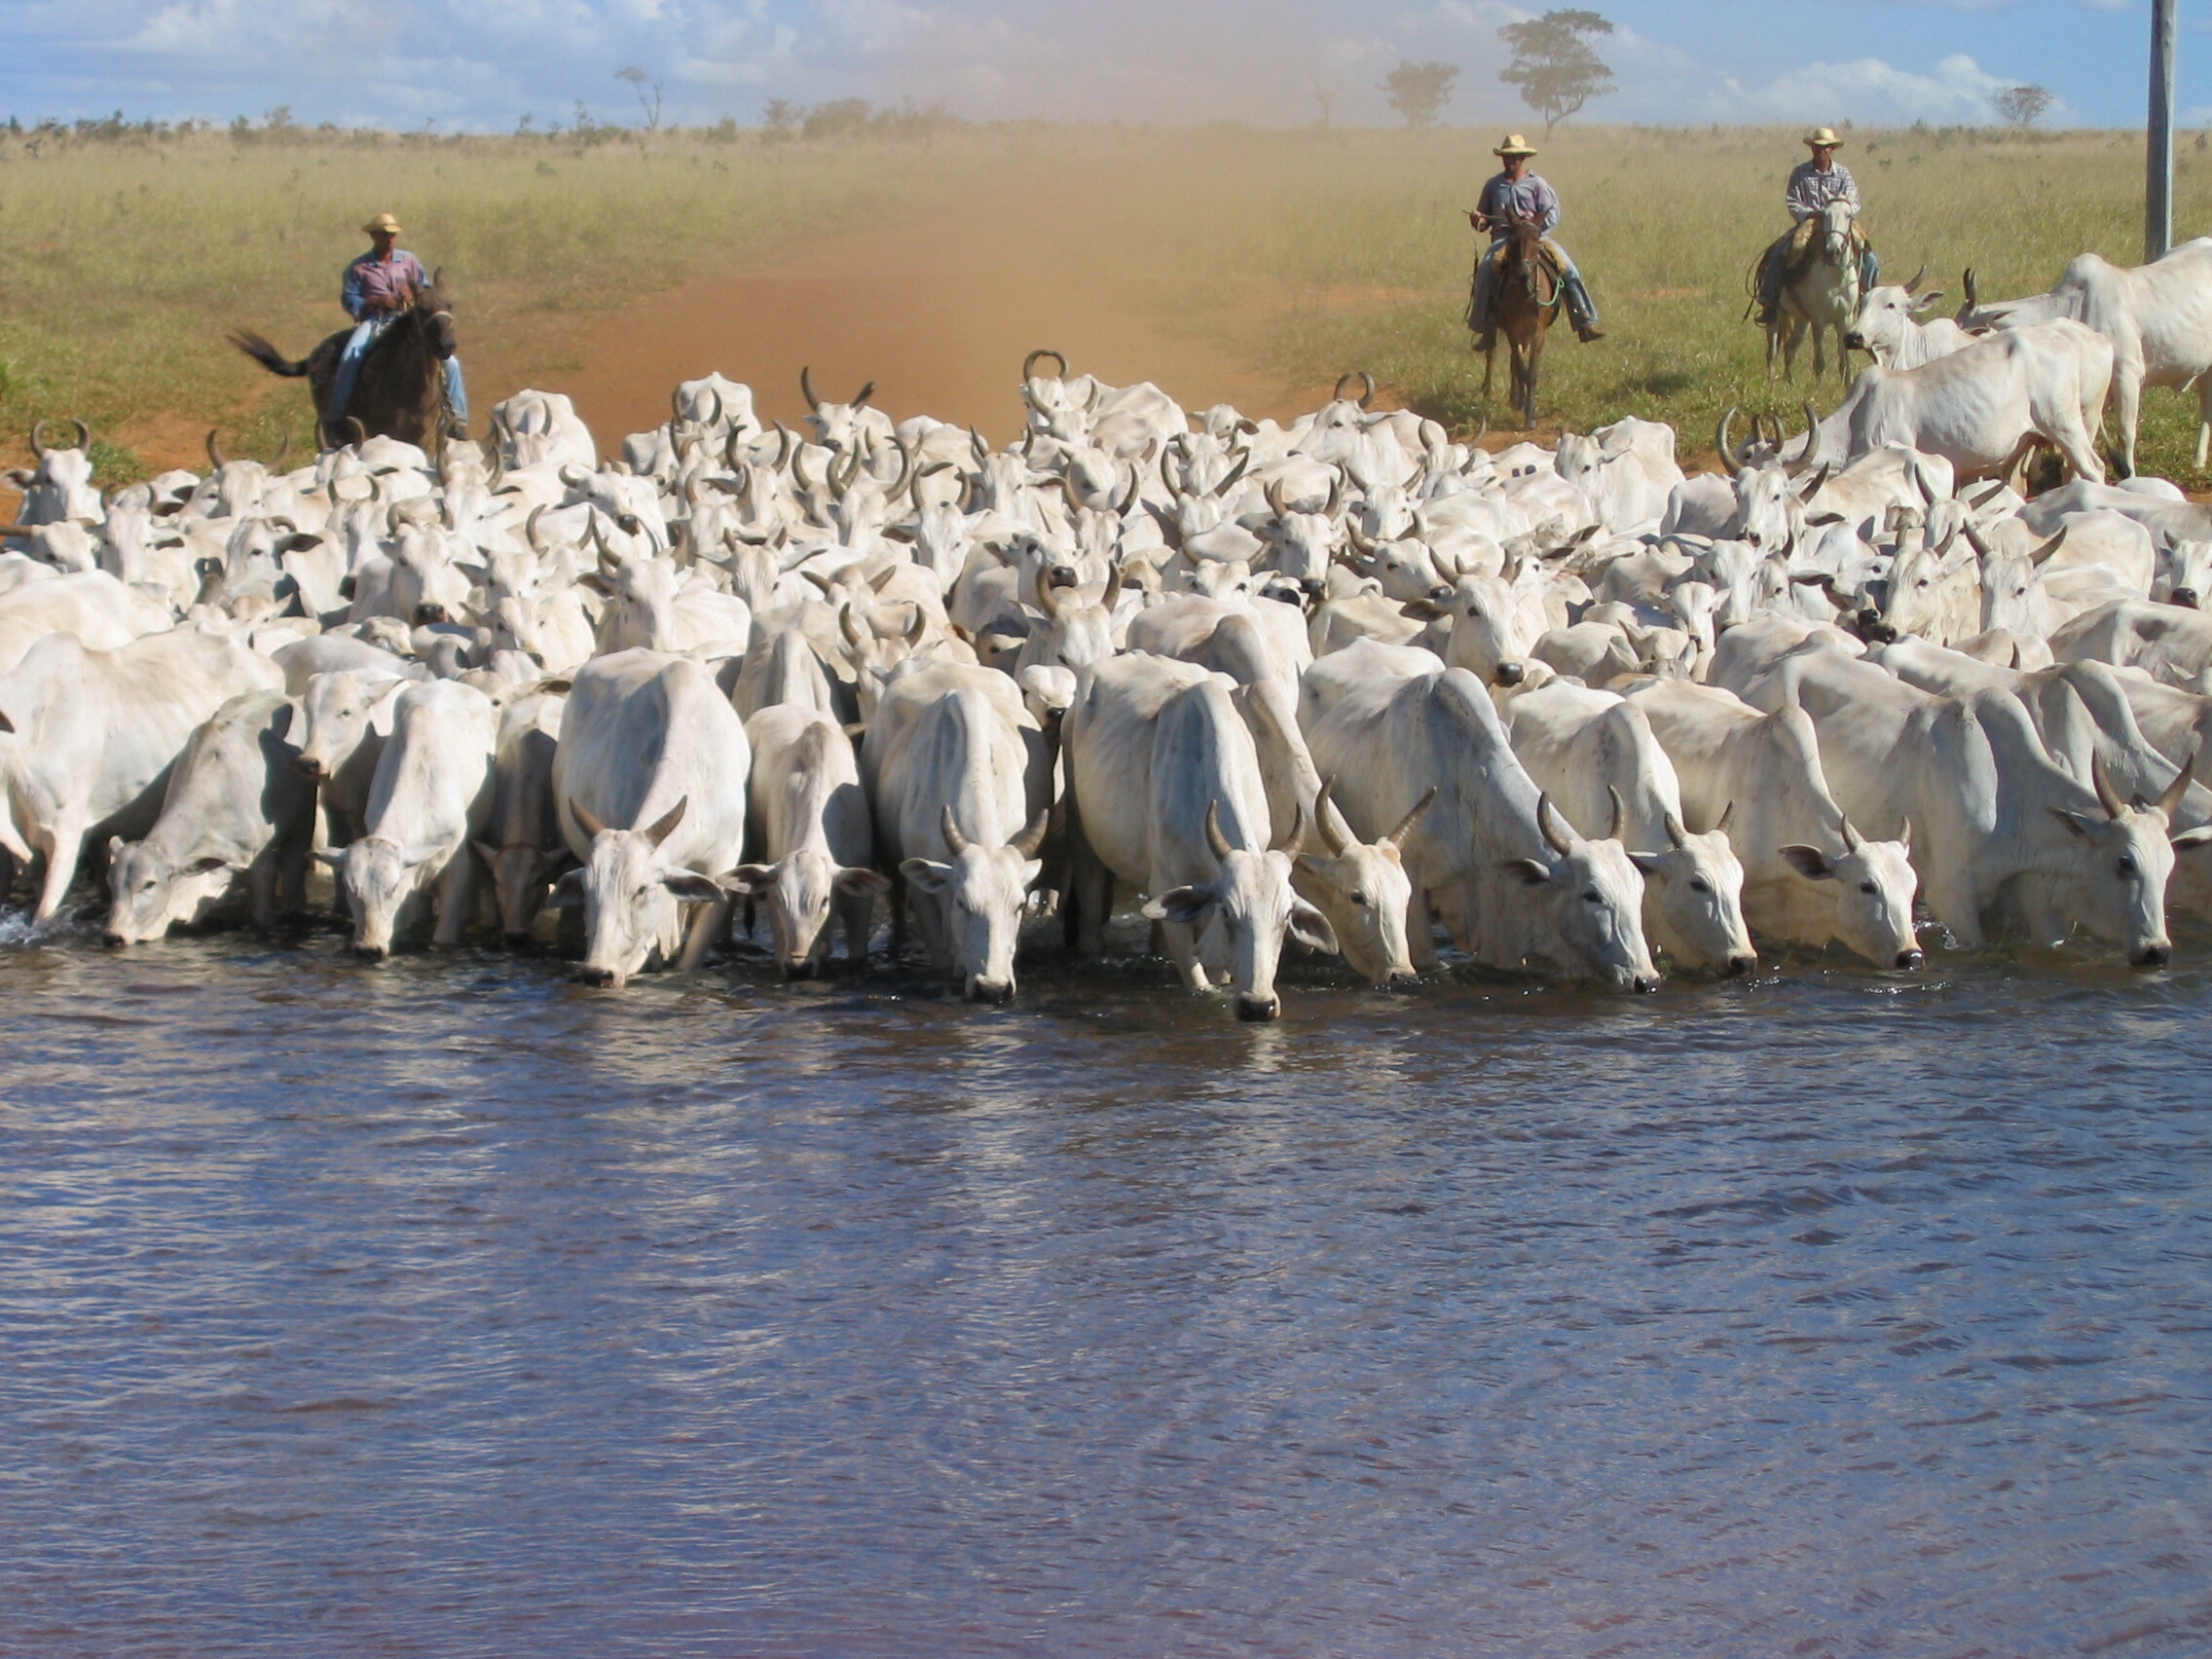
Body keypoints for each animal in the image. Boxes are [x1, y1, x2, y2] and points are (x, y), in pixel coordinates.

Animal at [229, 273, 458, 456]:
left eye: (448, 305)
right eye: (423, 309)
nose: (447, 344)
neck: (411, 389)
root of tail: (313, 357)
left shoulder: (422, 439)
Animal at [1468, 212, 1557, 428]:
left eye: (1536, 238)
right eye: (1512, 239)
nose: (1523, 273)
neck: (1524, 294)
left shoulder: (1537, 332)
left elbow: (1530, 372)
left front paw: (1529, 415)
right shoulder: (1512, 331)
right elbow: (1520, 367)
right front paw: (1524, 406)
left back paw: (1515, 397)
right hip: (1496, 329)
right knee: (1492, 352)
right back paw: (1489, 391)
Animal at [1769, 198, 1858, 387]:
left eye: (1848, 215)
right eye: (1825, 214)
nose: (1833, 251)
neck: (1836, 278)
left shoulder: (1845, 320)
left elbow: (1845, 362)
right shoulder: (1819, 320)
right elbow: (1819, 361)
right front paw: (1817, 388)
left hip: (1802, 320)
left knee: (1790, 348)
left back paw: (1790, 383)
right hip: (1775, 316)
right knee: (1772, 352)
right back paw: (1771, 383)